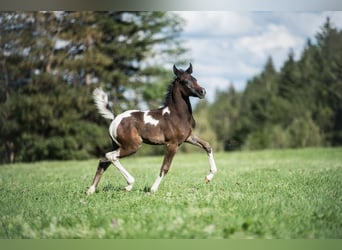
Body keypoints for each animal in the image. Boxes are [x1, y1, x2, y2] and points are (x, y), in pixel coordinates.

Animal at [87, 63, 218, 194]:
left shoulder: (188, 138)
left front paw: (209, 177)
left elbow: (207, 146)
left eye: (195, 79)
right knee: (110, 156)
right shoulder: (172, 144)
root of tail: (115, 118)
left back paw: (91, 190)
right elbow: (165, 167)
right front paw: (152, 190)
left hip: (117, 145)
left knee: (103, 161)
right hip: (132, 146)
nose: (202, 92)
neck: (176, 115)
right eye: (185, 81)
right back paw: (129, 184)